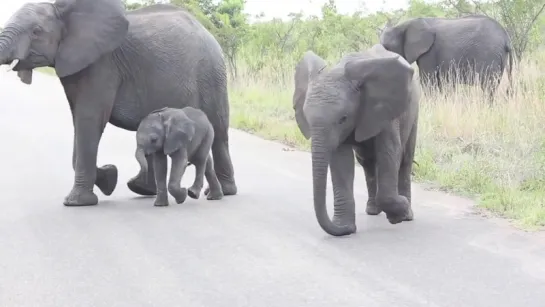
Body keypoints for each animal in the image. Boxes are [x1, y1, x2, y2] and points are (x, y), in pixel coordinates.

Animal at [0, 0, 238, 207]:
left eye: (36, 31)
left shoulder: (102, 64)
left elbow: (89, 119)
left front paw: (77, 202)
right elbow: (79, 121)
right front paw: (109, 178)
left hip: (211, 75)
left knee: (219, 131)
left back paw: (224, 192)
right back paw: (144, 189)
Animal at [292, 43, 418, 237]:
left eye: (343, 118)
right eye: (306, 117)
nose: (343, 229)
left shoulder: (386, 112)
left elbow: (390, 153)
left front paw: (399, 213)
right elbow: (340, 161)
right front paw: (345, 229)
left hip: (414, 111)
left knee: (405, 159)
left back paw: (408, 215)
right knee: (367, 161)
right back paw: (373, 210)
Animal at [378, 14, 516, 101]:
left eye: (387, 48)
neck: (403, 25)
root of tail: (507, 38)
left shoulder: (429, 52)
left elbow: (428, 81)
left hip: (489, 54)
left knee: (487, 86)